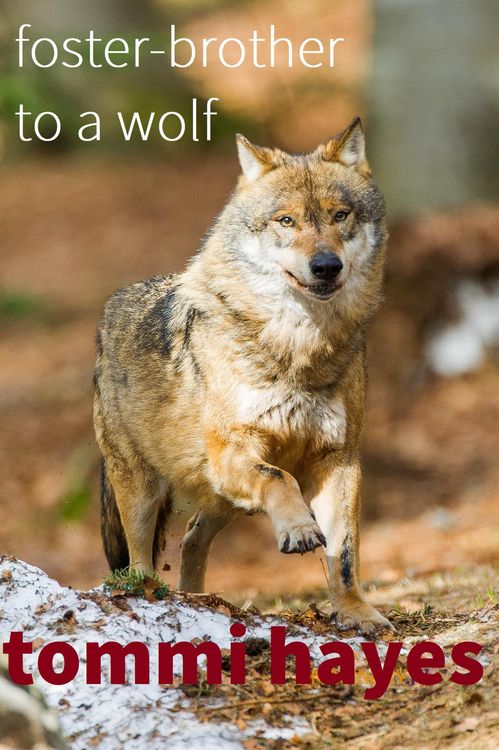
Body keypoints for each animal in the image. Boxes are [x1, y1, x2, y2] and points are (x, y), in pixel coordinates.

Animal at [93, 117, 392, 634]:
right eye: (286, 221)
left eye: (340, 216)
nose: (325, 266)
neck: (297, 348)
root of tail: (109, 312)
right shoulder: (235, 450)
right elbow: (280, 479)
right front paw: (299, 529)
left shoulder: (339, 459)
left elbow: (345, 554)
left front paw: (357, 613)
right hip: (143, 490)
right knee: (138, 559)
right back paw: (151, 596)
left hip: (219, 499)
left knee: (192, 537)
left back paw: (196, 600)